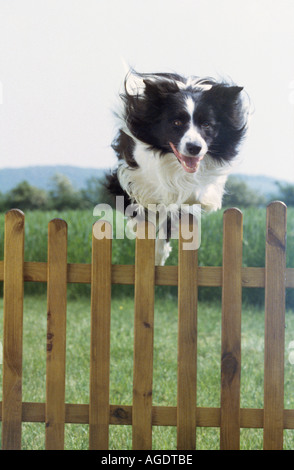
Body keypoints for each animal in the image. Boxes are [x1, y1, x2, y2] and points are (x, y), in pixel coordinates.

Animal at [105, 70, 248, 264]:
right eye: (177, 122)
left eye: (206, 124)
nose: (194, 148)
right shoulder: (130, 173)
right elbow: (141, 202)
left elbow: (179, 206)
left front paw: (159, 254)